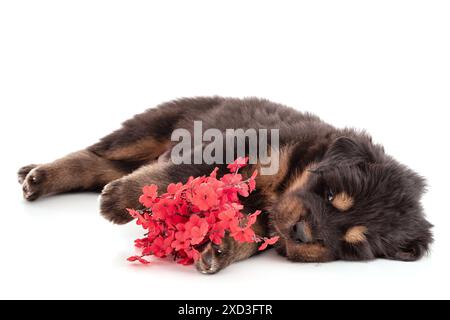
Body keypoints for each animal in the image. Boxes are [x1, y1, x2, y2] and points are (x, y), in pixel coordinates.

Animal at [18, 97, 432, 272]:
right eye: (330, 194)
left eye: (351, 245)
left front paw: (218, 251)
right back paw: (38, 176)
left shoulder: (267, 220)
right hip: (149, 128)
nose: (301, 233)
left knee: (102, 164)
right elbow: (177, 173)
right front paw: (121, 202)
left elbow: (247, 236)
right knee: (94, 155)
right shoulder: (238, 145)